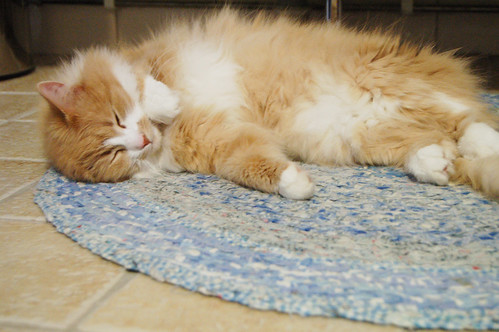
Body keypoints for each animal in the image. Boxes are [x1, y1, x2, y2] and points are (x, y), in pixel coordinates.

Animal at [37, 8, 499, 200]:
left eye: (117, 119)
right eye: (115, 159)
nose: (142, 143)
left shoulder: (156, 57)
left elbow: (150, 82)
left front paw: (165, 103)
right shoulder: (222, 145)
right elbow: (257, 167)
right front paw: (297, 185)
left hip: (385, 82)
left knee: (467, 118)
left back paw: (482, 143)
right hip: (363, 133)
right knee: (442, 143)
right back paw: (435, 164)